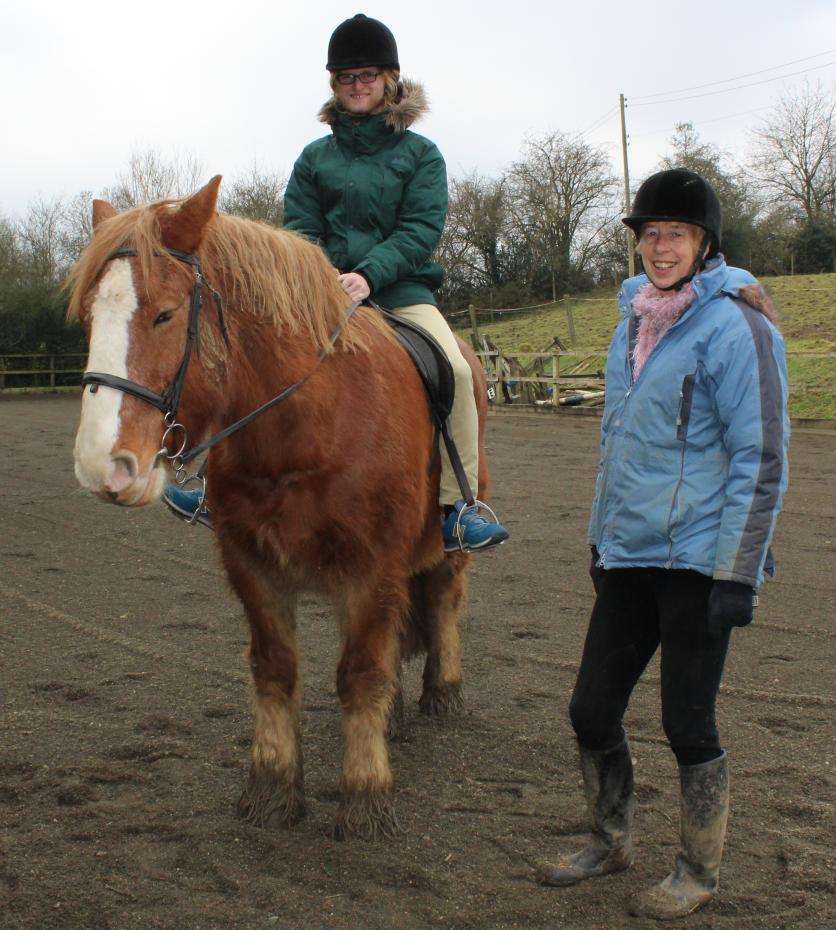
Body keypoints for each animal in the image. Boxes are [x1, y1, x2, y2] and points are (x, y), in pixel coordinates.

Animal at [68, 172, 494, 832]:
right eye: (91, 318)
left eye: (165, 315)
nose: (100, 465)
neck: (307, 423)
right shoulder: (252, 566)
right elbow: (275, 670)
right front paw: (271, 788)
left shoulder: (372, 569)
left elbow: (360, 672)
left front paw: (365, 797)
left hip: (445, 545)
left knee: (443, 600)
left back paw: (441, 691)